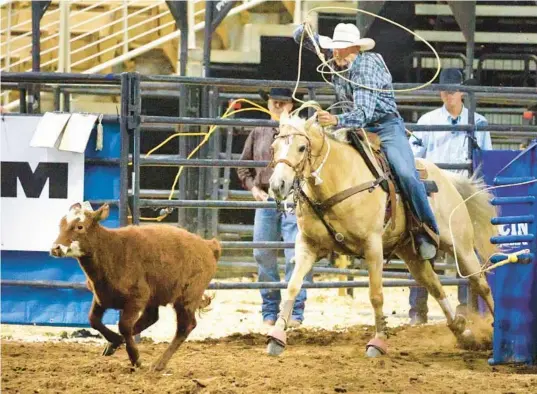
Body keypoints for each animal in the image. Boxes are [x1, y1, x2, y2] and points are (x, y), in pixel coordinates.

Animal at [49, 203, 219, 372]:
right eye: (61, 225)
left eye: (80, 226)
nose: (55, 248)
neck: (111, 251)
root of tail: (208, 245)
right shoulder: (100, 296)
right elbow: (94, 320)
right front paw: (115, 341)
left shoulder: (136, 299)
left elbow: (124, 326)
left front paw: (135, 358)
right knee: (150, 318)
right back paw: (115, 345)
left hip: (188, 297)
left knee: (185, 327)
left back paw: (158, 364)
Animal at [266, 110, 496, 358]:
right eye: (273, 147)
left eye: (301, 147)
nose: (277, 185)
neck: (337, 182)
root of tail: (447, 178)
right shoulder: (307, 245)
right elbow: (292, 286)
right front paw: (276, 337)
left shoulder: (372, 246)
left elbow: (376, 295)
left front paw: (378, 342)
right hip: (411, 254)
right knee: (434, 285)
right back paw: (463, 333)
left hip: (460, 247)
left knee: (481, 284)